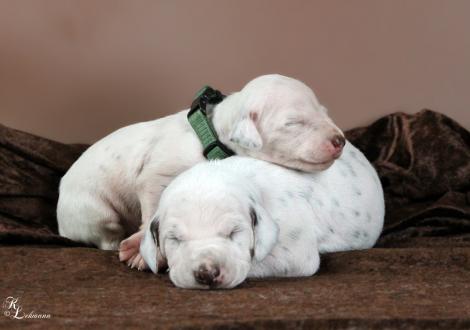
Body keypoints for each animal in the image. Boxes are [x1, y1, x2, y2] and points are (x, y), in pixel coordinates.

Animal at [57, 73, 346, 270]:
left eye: (324, 111)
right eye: (293, 123)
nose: (340, 140)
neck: (212, 135)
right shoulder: (156, 177)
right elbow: (154, 208)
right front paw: (143, 252)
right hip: (96, 212)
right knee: (106, 237)